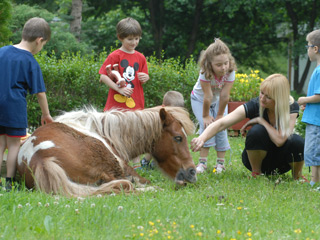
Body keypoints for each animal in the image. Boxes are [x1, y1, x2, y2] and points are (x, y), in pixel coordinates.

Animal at [18, 106, 198, 196]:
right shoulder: (125, 168)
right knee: (125, 187)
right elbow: (140, 181)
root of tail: (40, 157)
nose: (192, 172)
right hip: (111, 167)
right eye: (178, 138)